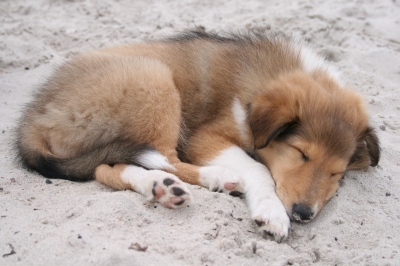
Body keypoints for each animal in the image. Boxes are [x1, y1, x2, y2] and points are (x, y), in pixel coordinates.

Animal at [17, 30, 380, 241]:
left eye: (337, 173)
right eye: (301, 153)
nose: (304, 214)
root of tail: (32, 121)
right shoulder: (205, 137)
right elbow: (258, 168)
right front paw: (272, 213)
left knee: (108, 168)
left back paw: (161, 187)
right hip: (154, 79)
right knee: (157, 159)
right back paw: (213, 176)